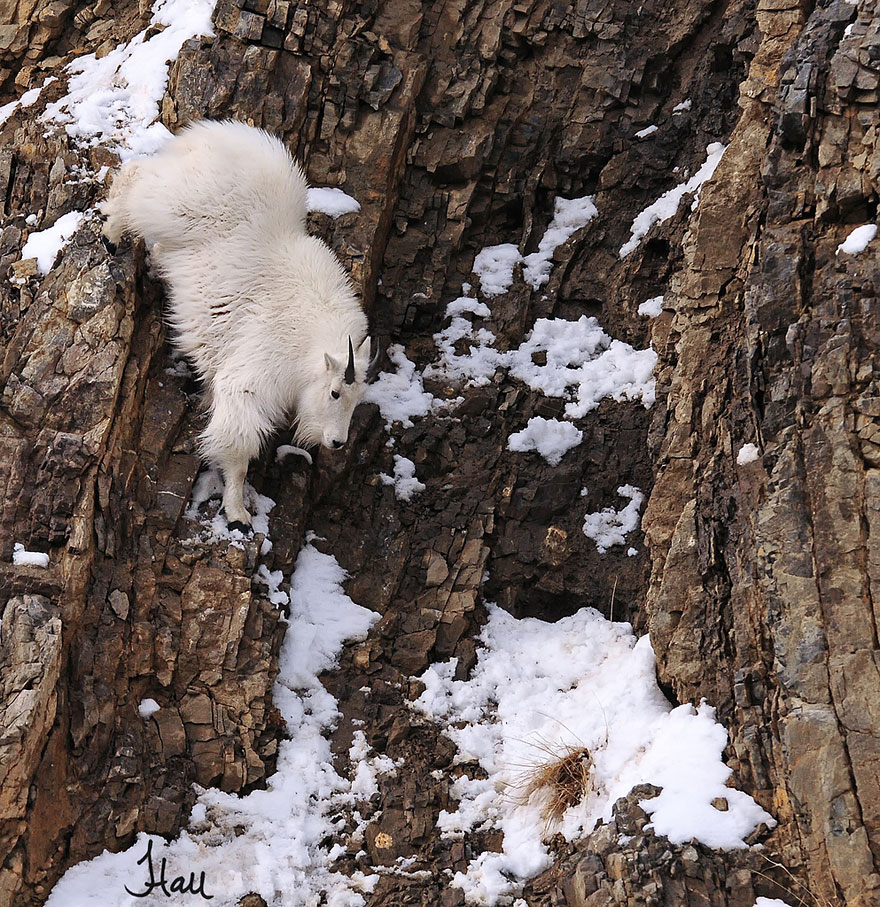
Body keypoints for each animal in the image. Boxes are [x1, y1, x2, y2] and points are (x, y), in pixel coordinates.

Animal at [101, 119, 372, 530]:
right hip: (179, 204)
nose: (336, 442)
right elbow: (238, 447)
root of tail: (212, 135)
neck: (309, 343)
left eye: (358, 399)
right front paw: (237, 512)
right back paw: (111, 235)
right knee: (137, 177)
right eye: (335, 392)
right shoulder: (250, 380)